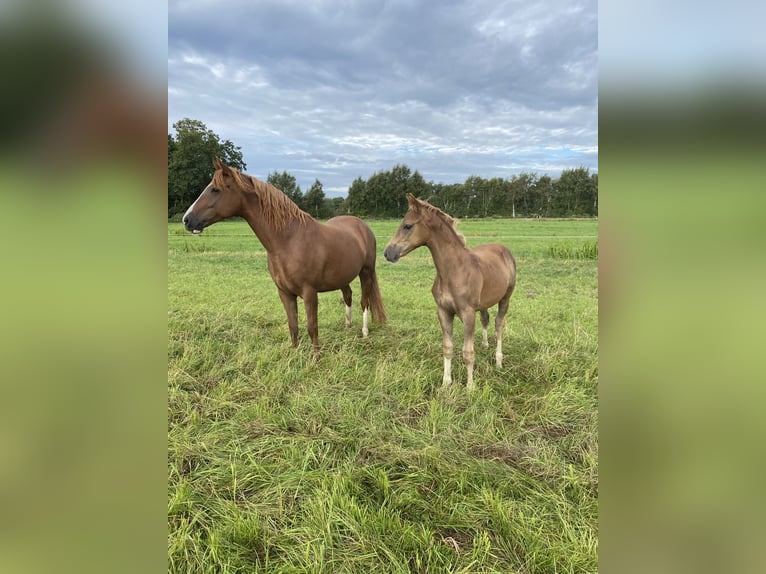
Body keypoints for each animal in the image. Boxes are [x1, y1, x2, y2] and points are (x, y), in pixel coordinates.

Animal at [183, 158, 387, 358]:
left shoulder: (309, 293)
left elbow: (312, 327)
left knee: (364, 301)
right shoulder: (285, 293)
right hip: (342, 276)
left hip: (366, 272)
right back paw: (347, 326)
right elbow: (293, 326)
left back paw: (364, 332)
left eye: (215, 190)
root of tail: (362, 226)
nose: (186, 220)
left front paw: (316, 359)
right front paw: (294, 354)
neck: (288, 241)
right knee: (348, 296)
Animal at [384, 194, 516, 390]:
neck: (454, 270)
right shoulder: (443, 311)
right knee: (486, 319)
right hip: (483, 302)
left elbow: (467, 352)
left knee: (499, 324)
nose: (387, 253)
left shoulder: (468, 314)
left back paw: (498, 361)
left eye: (407, 225)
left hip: (505, 298)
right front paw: (446, 383)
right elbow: (447, 348)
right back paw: (485, 345)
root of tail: (503, 249)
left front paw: (470, 387)